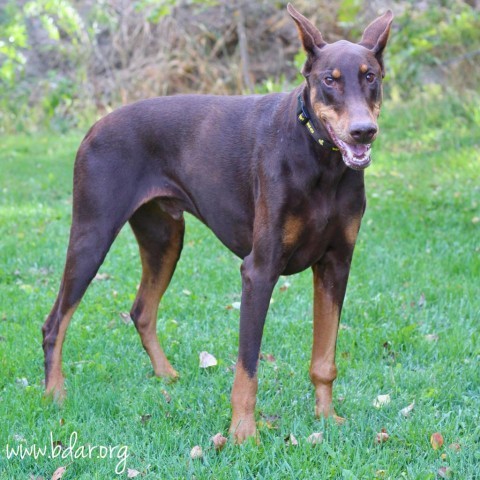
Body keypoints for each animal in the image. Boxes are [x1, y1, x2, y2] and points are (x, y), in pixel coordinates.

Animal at [42, 4, 394, 442]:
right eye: (330, 80)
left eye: (371, 77)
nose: (364, 131)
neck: (321, 162)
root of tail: (94, 127)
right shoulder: (259, 270)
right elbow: (247, 367)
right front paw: (244, 433)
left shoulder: (336, 264)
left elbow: (324, 359)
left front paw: (326, 418)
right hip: (93, 233)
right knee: (55, 321)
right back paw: (55, 396)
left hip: (165, 238)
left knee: (141, 310)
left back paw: (166, 376)